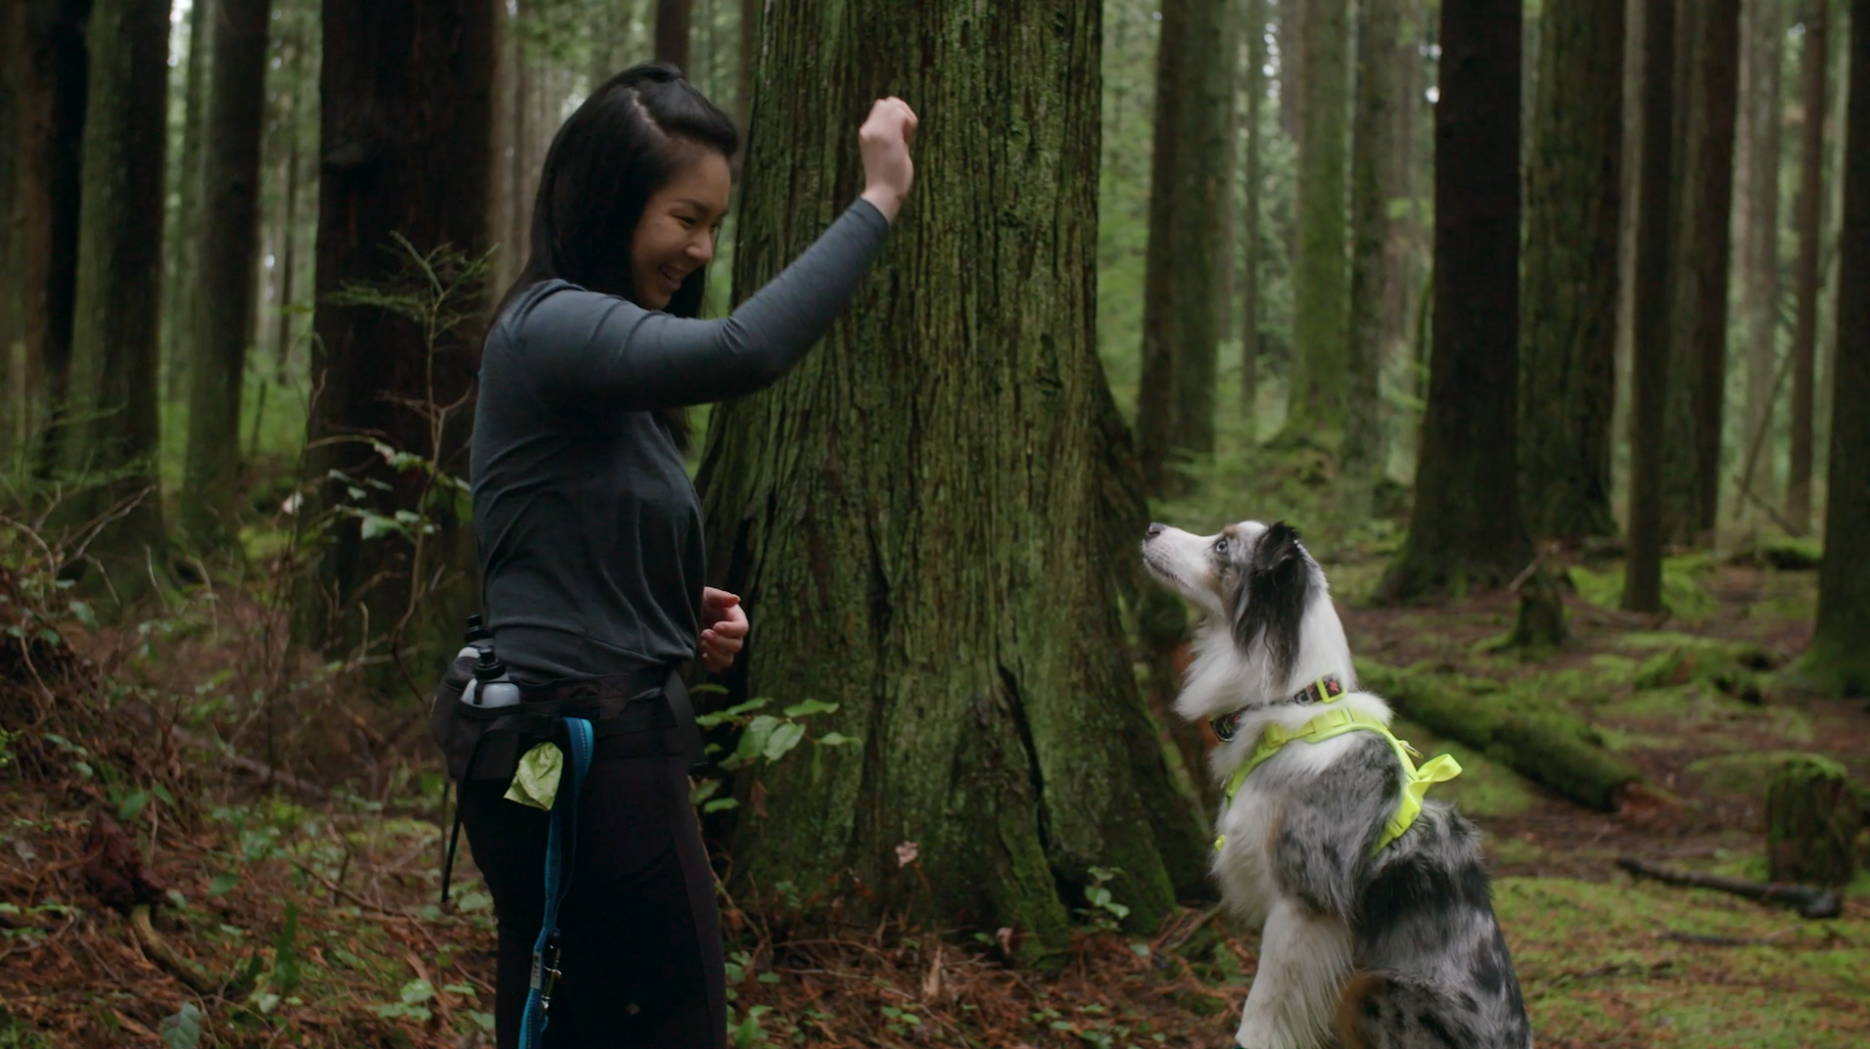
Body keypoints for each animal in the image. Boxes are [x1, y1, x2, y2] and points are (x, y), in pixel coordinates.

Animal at [1136, 516, 1533, 1047]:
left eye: (1221, 546)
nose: (1151, 526)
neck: (1294, 706)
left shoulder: (1304, 900)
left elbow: (1264, 1005)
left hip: (1372, 986)